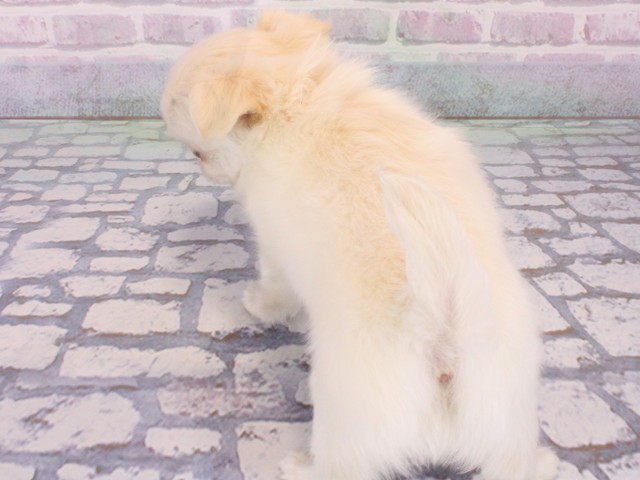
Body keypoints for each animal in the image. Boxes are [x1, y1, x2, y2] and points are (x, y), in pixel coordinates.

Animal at [161, 11, 558, 480]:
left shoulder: (273, 243)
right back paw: (543, 461)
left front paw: (259, 304)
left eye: (198, 154)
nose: (204, 171)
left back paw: (299, 466)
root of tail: (442, 328)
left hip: (344, 414)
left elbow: (275, 287)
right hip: (505, 416)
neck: (299, 98)